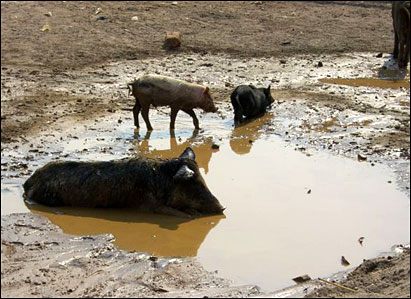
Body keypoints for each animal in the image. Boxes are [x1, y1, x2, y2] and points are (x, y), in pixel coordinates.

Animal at [23, 148, 225, 218]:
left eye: (203, 180)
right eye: (195, 184)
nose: (222, 208)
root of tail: (28, 182)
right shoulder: (149, 206)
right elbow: (181, 214)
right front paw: (193, 214)